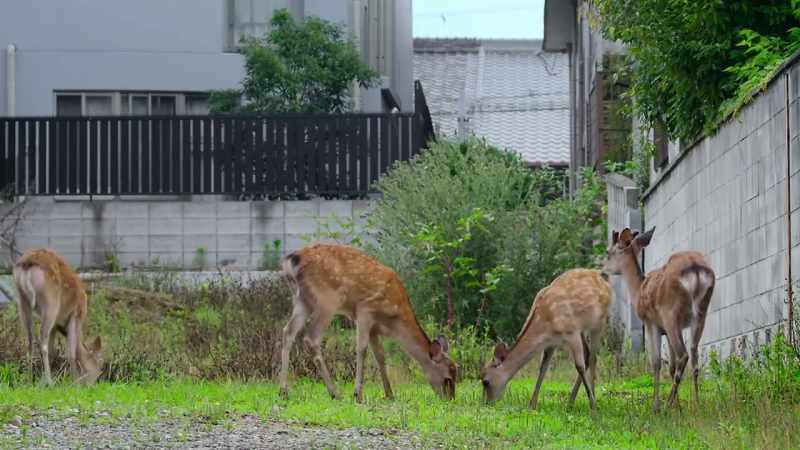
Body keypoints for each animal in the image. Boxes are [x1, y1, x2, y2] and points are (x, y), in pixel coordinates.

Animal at [12, 248, 103, 385]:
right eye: (98, 368)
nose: (93, 384)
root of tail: (27, 263)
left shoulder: (56, 324)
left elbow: (53, 351)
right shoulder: (76, 315)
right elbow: (71, 353)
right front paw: (73, 382)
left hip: (22, 299)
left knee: (29, 340)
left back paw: (28, 380)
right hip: (50, 302)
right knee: (42, 341)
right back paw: (49, 382)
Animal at [279, 243, 458, 402]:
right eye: (448, 376)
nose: (450, 399)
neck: (394, 320)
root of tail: (291, 260)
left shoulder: (375, 328)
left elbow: (380, 355)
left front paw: (389, 394)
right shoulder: (365, 309)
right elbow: (362, 349)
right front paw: (358, 394)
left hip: (302, 300)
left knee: (288, 331)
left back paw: (283, 392)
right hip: (327, 299)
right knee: (311, 338)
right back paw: (335, 393)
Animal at [481, 269, 611, 410]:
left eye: (485, 381)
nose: (486, 403)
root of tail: (602, 278)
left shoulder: (572, 332)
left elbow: (579, 366)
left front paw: (592, 404)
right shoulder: (551, 342)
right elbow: (543, 367)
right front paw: (532, 404)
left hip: (600, 322)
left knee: (593, 358)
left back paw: (592, 400)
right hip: (583, 330)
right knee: (588, 355)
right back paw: (570, 403)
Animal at [602, 227, 715, 411]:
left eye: (608, 253)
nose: (602, 270)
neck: (638, 291)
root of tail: (695, 267)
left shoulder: (650, 323)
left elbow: (656, 362)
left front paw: (656, 405)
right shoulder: (665, 332)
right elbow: (671, 366)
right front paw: (679, 407)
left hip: (670, 313)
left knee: (683, 355)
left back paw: (667, 405)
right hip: (701, 313)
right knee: (694, 356)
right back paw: (696, 404)